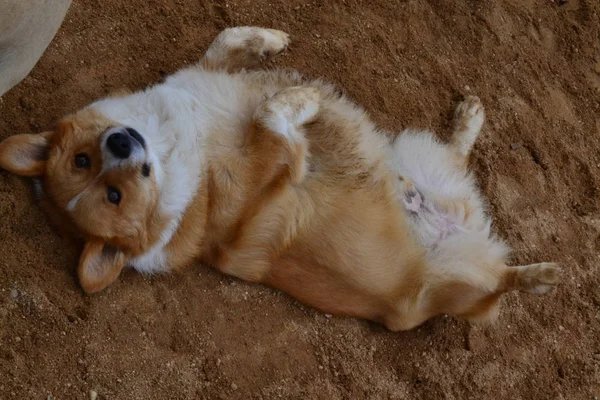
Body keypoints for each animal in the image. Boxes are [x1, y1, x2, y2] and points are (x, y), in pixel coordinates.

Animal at [1, 26, 564, 330]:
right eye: (113, 195)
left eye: (82, 161)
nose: (121, 143)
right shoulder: (282, 159)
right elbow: (273, 110)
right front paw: (305, 99)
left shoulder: (204, 76)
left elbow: (229, 41)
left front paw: (271, 41)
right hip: (462, 287)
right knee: (501, 286)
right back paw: (543, 276)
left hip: (413, 150)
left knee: (456, 155)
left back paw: (469, 116)